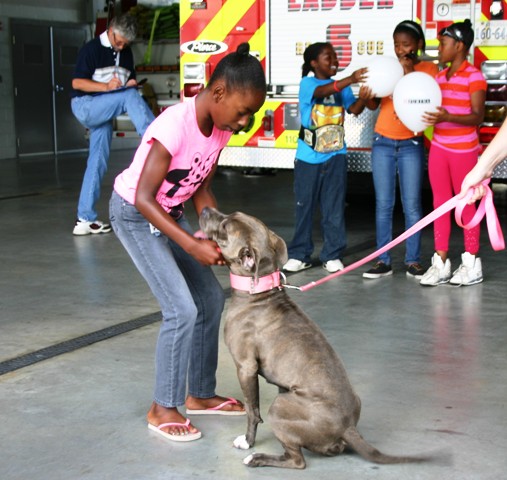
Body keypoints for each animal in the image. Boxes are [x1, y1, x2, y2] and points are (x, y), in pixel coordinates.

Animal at [198, 207, 432, 468]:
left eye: (225, 227)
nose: (206, 209)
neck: (258, 290)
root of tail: (348, 427)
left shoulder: (245, 367)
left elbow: (252, 410)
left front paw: (248, 441)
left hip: (280, 405)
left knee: (297, 460)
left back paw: (257, 458)